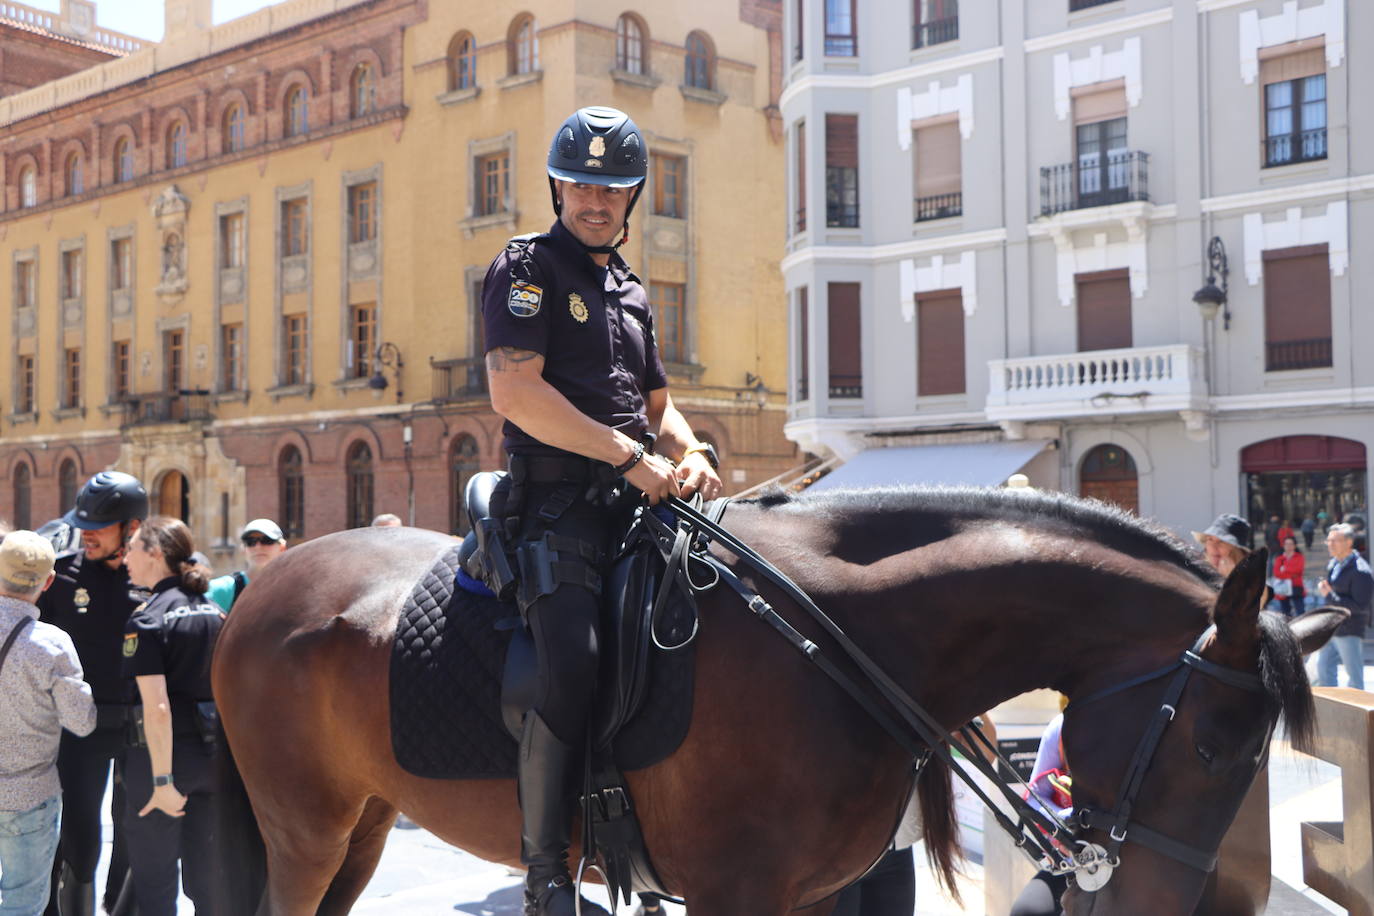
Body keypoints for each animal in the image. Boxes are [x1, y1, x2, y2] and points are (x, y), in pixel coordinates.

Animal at [208, 486, 1335, 911]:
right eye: (1215, 745)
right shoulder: (735, 892)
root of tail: (256, 587)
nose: (1171, 907)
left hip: (362, 822)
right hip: (305, 829)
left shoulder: (816, 893)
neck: (840, 641)